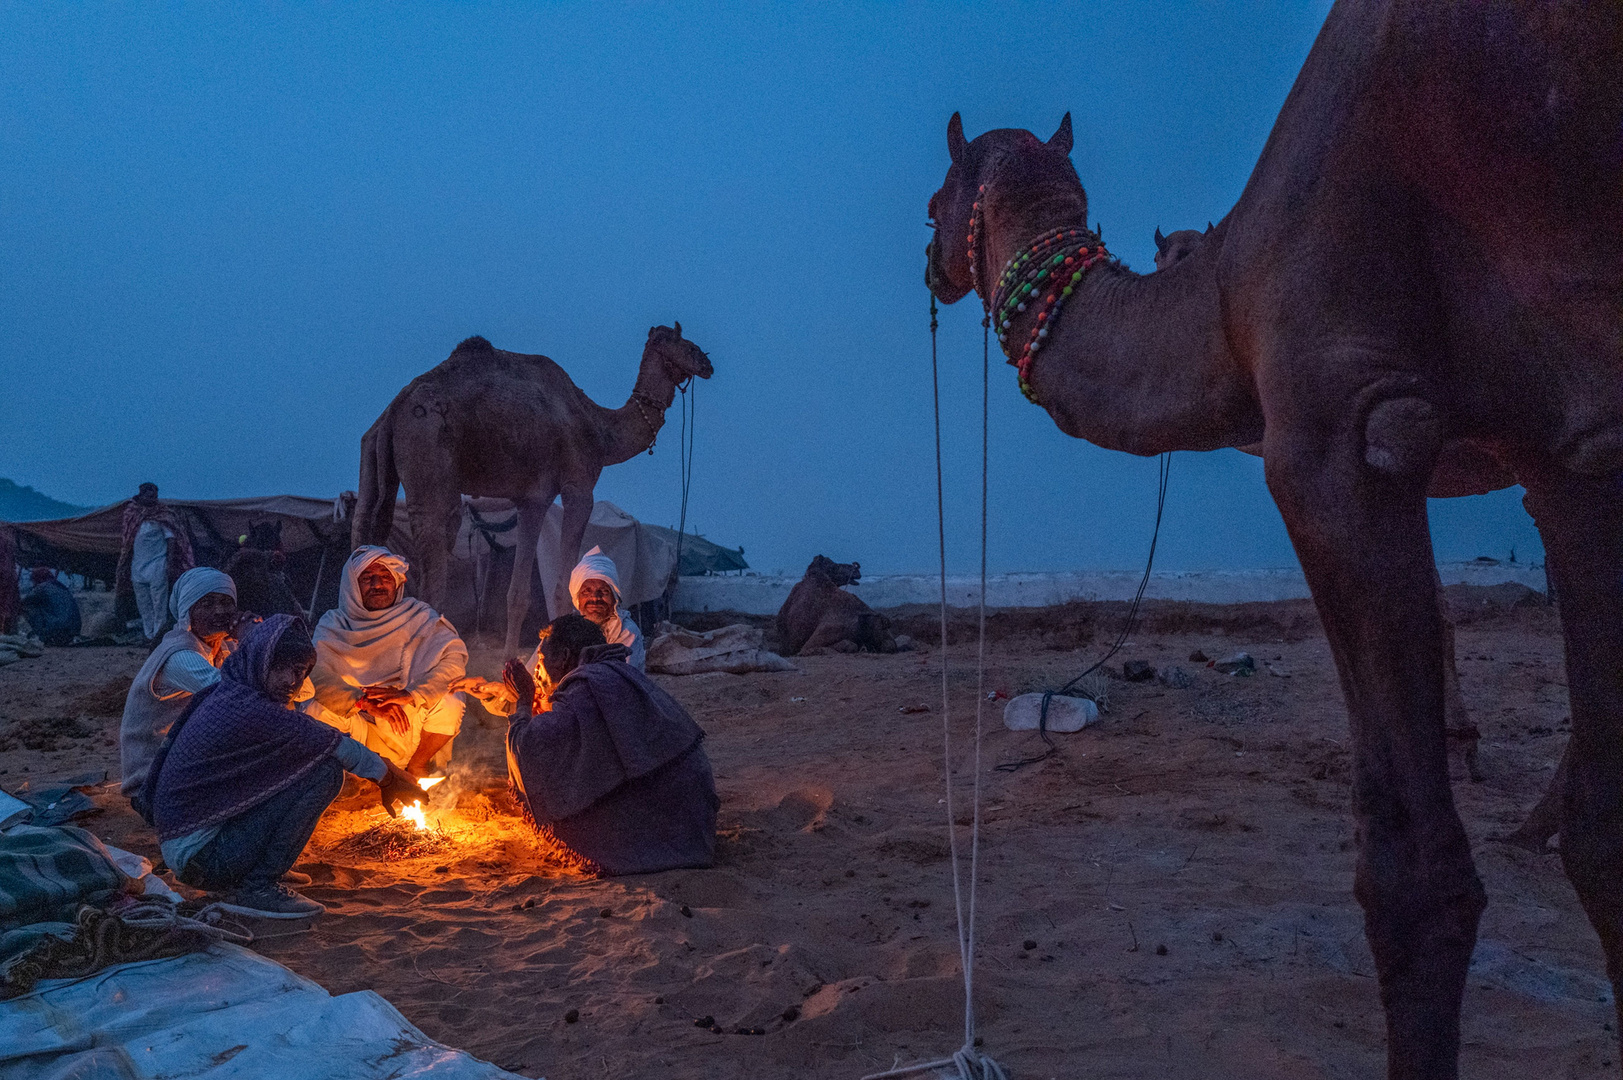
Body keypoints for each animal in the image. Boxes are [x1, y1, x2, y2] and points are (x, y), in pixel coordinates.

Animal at [355, 324, 710, 652]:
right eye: (689, 346)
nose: (708, 364)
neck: (600, 428)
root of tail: (395, 407)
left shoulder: (530, 499)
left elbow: (517, 595)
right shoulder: (575, 487)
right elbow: (561, 588)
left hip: (371, 452)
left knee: (364, 530)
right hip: (428, 457)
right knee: (431, 571)